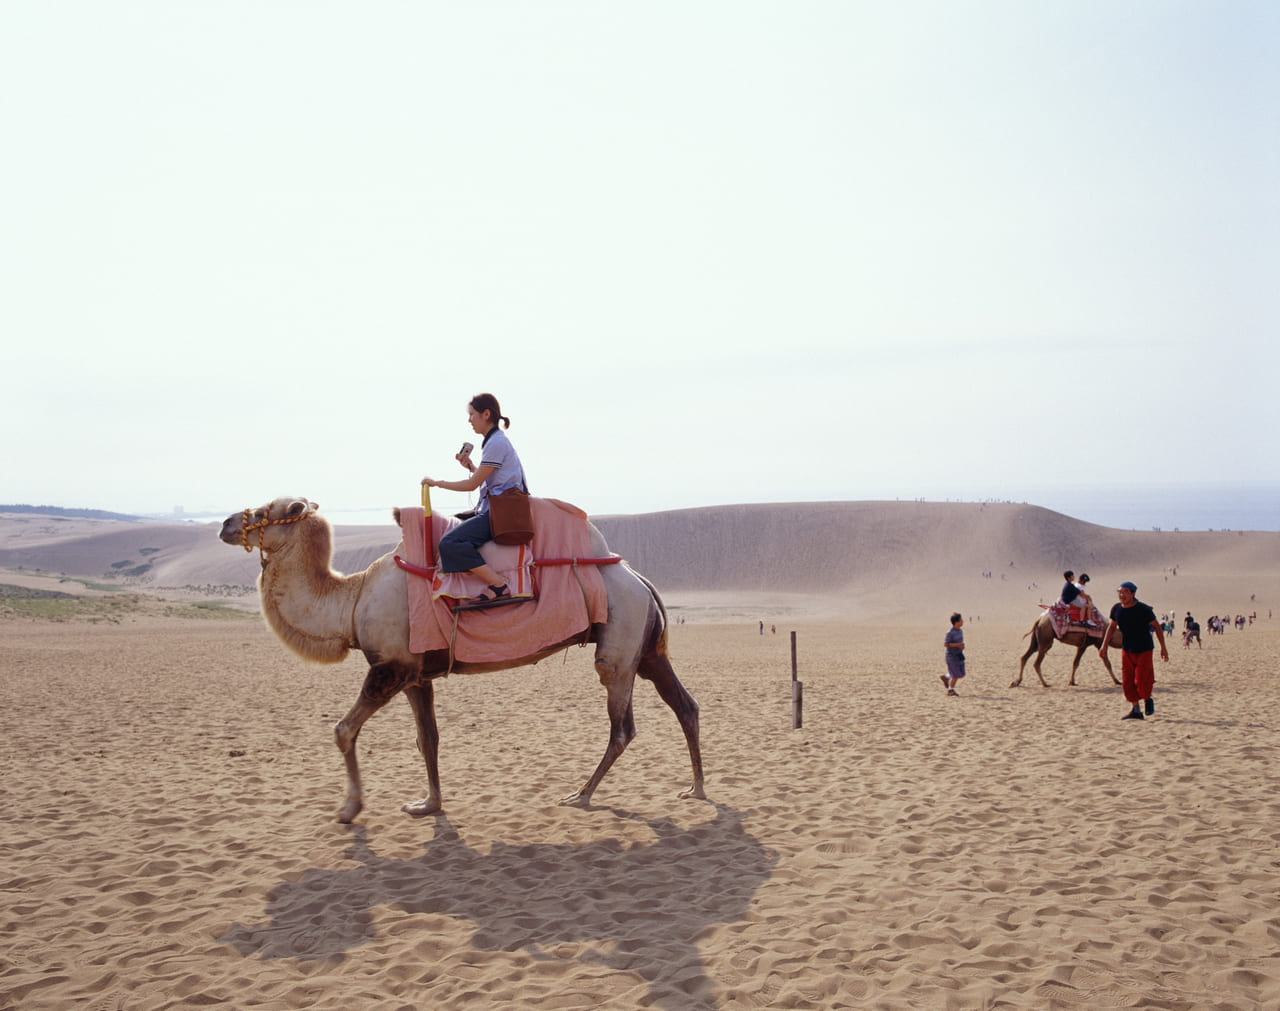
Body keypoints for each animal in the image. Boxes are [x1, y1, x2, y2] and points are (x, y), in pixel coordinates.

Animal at [217, 499, 701, 824]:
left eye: (265, 509)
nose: (224, 522)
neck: (350, 601)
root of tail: (637, 576)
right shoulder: (415, 674)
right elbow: (427, 739)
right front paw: (428, 804)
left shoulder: (388, 668)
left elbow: (343, 730)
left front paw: (350, 808)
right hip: (647, 648)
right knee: (684, 705)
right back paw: (696, 789)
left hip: (618, 643)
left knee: (622, 725)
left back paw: (580, 795)